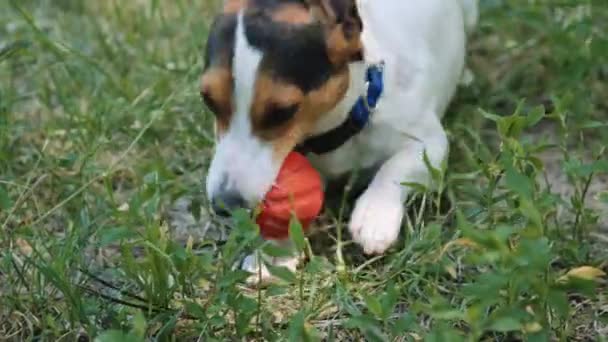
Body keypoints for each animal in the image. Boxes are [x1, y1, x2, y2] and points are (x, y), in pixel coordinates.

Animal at [202, 0, 478, 282]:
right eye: (208, 100)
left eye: (282, 112)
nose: (224, 204)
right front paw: (274, 253)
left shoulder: (430, 143)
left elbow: (395, 167)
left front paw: (376, 213)